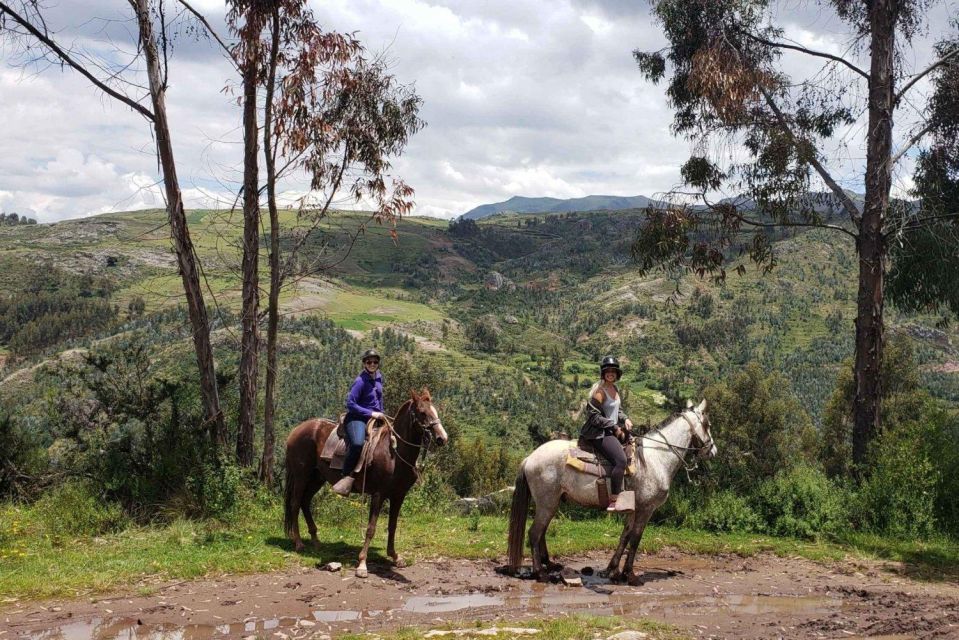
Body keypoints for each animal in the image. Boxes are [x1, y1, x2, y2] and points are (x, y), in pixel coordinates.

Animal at [282, 388, 446, 576]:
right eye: (422, 412)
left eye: (435, 411)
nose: (442, 438)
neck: (394, 453)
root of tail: (296, 431)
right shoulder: (378, 494)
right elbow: (370, 529)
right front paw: (362, 564)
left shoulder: (398, 496)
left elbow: (393, 526)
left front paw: (395, 556)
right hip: (301, 475)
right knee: (295, 503)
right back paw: (299, 543)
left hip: (317, 478)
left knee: (305, 502)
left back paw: (316, 540)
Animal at [506, 400, 716, 584]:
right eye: (707, 424)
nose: (712, 451)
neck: (655, 458)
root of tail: (530, 458)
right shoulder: (645, 509)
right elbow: (635, 539)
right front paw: (630, 576)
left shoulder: (633, 509)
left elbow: (625, 536)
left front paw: (612, 571)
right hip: (547, 503)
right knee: (535, 533)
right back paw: (540, 573)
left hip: (551, 503)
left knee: (541, 532)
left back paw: (550, 565)